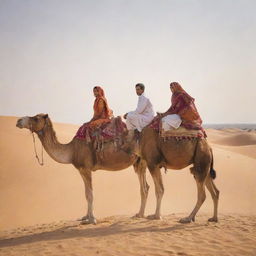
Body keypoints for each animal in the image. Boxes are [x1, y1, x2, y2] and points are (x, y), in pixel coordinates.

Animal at [16, 114, 147, 224]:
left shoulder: (86, 168)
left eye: (36, 118)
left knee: (144, 188)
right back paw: (139, 214)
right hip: (138, 162)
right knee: (146, 186)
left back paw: (141, 214)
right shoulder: (81, 170)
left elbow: (90, 194)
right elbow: (86, 194)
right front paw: (85, 217)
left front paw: (92, 219)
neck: (72, 150)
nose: (18, 121)